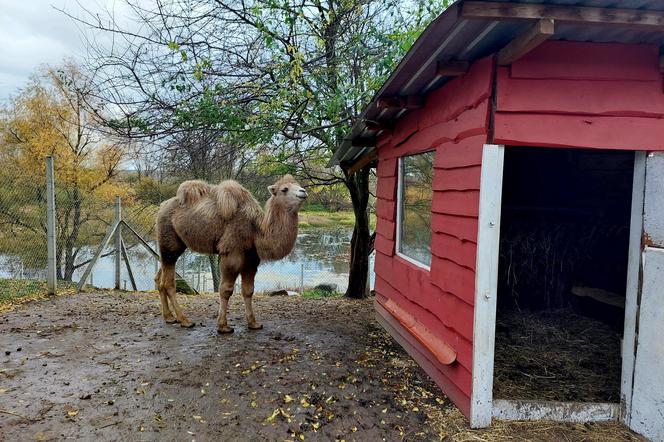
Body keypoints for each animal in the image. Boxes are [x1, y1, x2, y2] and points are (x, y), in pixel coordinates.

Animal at [156, 174, 308, 334]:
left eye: (298, 184)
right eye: (284, 189)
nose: (303, 192)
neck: (256, 233)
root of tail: (161, 206)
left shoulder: (251, 261)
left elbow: (248, 291)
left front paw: (253, 323)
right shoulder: (231, 254)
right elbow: (226, 290)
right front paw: (223, 326)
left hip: (176, 247)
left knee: (160, 278)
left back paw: (169, 317)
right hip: (168, 241)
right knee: (169, 282)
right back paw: (185, 321)